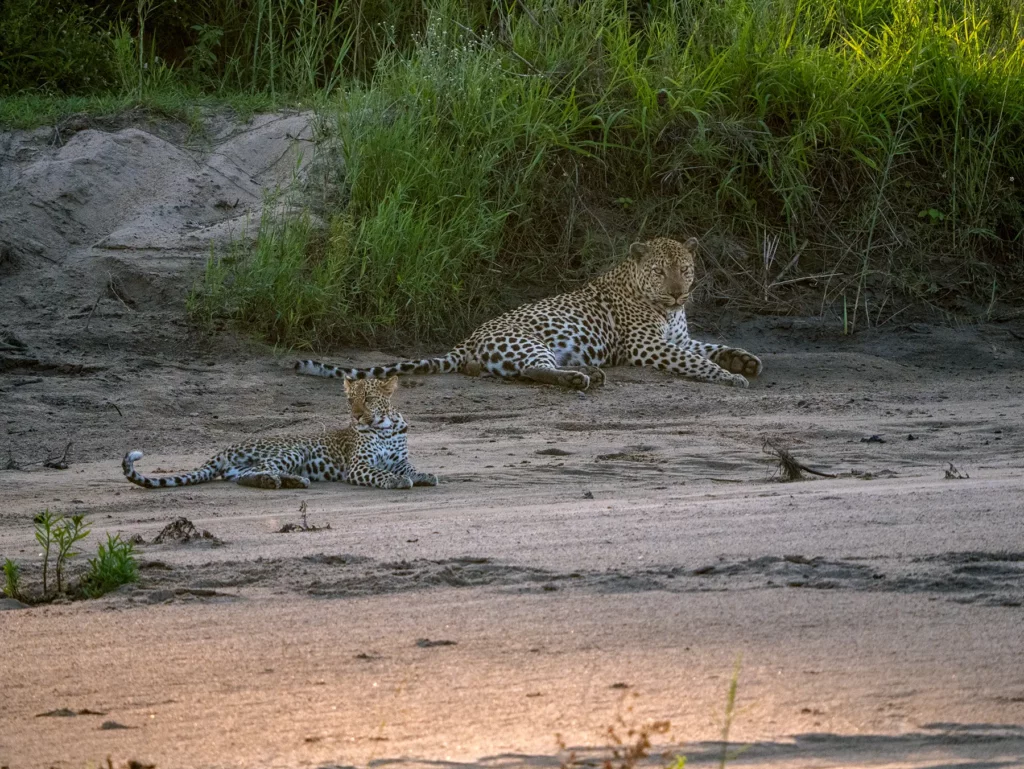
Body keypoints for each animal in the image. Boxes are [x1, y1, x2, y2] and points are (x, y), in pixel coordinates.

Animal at [121, 377, 437, 491]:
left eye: (369, 399)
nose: (357, 415)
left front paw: (425, 475)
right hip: (291, 450)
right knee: (258, 470)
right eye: (351, 400)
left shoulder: (399, 458)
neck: (385, 427)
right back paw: (290, 481)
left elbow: (410, 467)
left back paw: (285, 481)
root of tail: (224, 449)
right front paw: (396, 481)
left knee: (243, 476)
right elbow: (381, 472)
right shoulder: (358, 466)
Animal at [295, 237, 761, 391]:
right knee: (531, 371)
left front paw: (744, 359)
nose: (680, 292)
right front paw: (731, 377)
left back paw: (588, 374)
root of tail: (466, 341)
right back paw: (580, 379)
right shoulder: (648, 347)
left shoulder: (677, 338)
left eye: (685, 269)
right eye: (659, 271)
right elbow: (696, 361)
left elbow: (708, 346)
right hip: (530, 341)